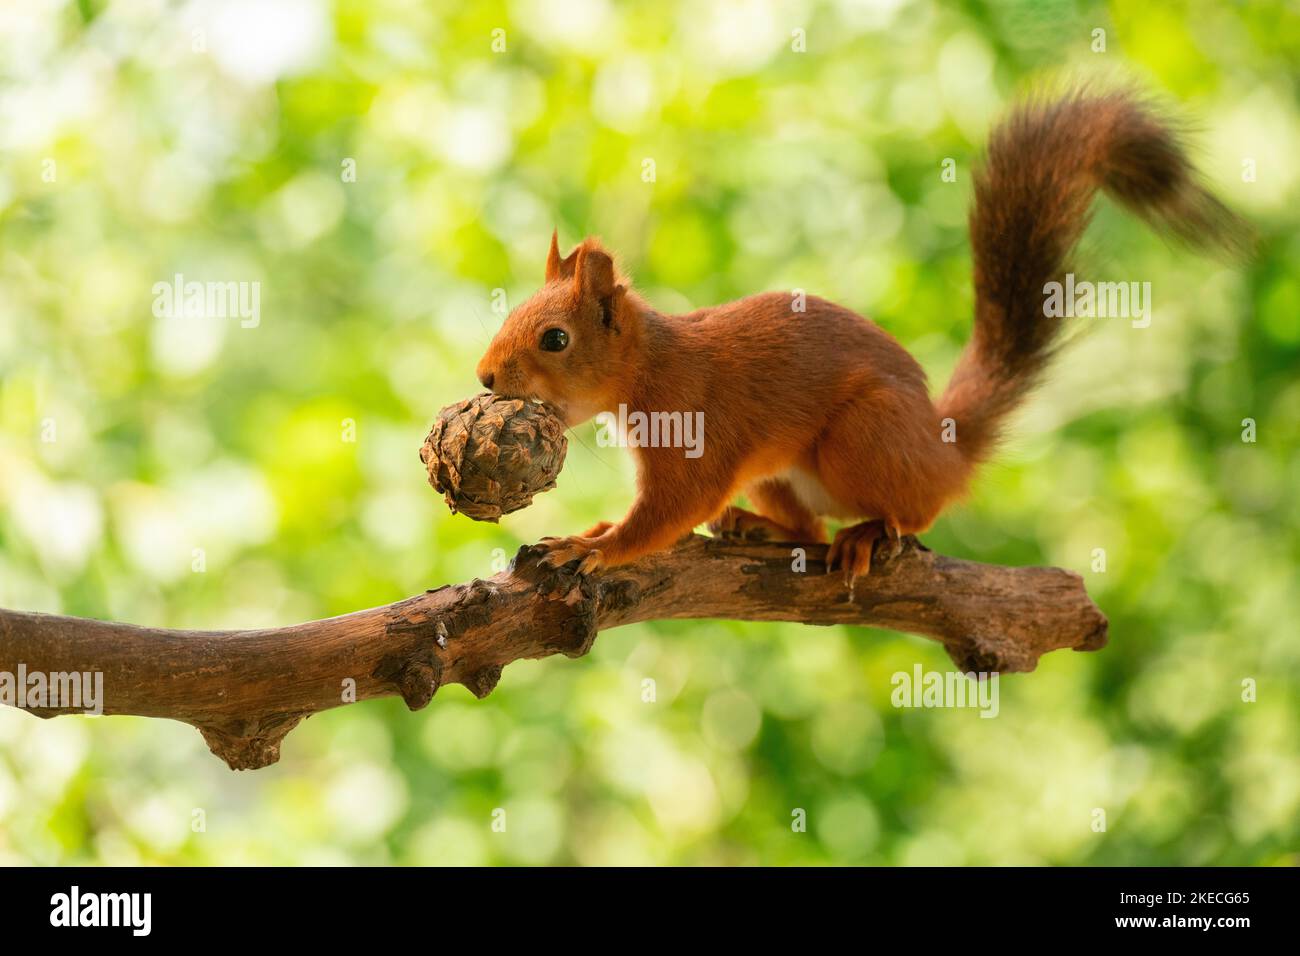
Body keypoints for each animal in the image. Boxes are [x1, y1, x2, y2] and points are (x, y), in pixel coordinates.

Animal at [475, 91, 1248, 582]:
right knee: (808, 530)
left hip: (863, 437)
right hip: (780, 470)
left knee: (911, 512)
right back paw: (763, 529)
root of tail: (943, 447)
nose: (484, 377)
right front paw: (593, 532)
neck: (646, 368)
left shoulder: (696, 431)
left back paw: (873, 534)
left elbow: (669, 514)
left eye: (554, 340)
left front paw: (595, 549)